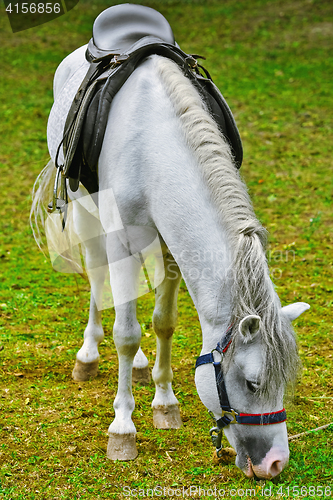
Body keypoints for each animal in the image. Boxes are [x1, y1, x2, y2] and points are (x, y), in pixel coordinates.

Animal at [31, 45, 308, 478]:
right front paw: (123, 428)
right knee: (97, 274)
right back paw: (88, 354)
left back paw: (141, 366)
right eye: (252, 383)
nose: (276, 462)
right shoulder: (121, 239)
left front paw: (165, 403)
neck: (154, 147)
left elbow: (164, 323)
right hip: (84, 209)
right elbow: (126, 334)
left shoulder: (171, 247)